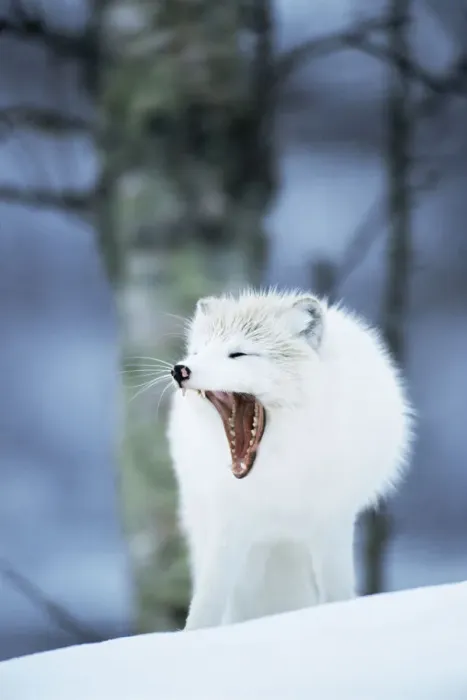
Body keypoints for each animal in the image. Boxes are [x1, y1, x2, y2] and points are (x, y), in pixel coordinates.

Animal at [167, 289, 413, 630]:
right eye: (198, 351)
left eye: (238, 354)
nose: (180, 369)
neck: (280, 471)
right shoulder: (231, 522)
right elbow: (207, 601)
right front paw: (194, 635)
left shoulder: (332, 520)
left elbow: (337, 594)